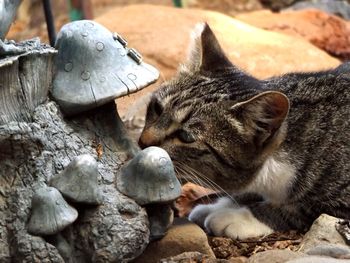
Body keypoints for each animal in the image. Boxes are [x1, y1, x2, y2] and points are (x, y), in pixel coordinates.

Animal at [138, 23, 348, 240]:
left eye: (186, 137)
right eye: (157, 108)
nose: (143, 142)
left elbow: (299, 207)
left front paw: (240, 217)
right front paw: (219, 206)